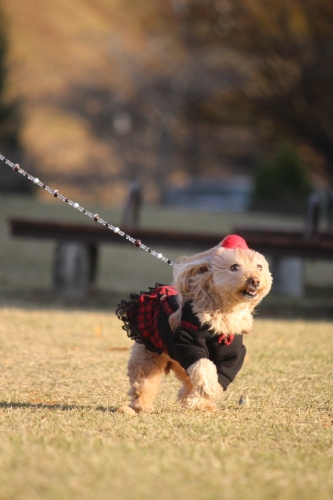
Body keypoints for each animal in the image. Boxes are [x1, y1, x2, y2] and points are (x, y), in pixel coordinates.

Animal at [115, 235, 272, 414]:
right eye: (234, 267)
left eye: (259, 267)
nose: (255, 280)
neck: (225, 313)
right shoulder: (188, 341)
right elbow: (203, 365)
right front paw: (206, 391)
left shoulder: (233, 353)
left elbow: (222, 376)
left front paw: (200, 400)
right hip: (149, 358)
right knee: (143, 384)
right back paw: (136, 408)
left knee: (188, 384)